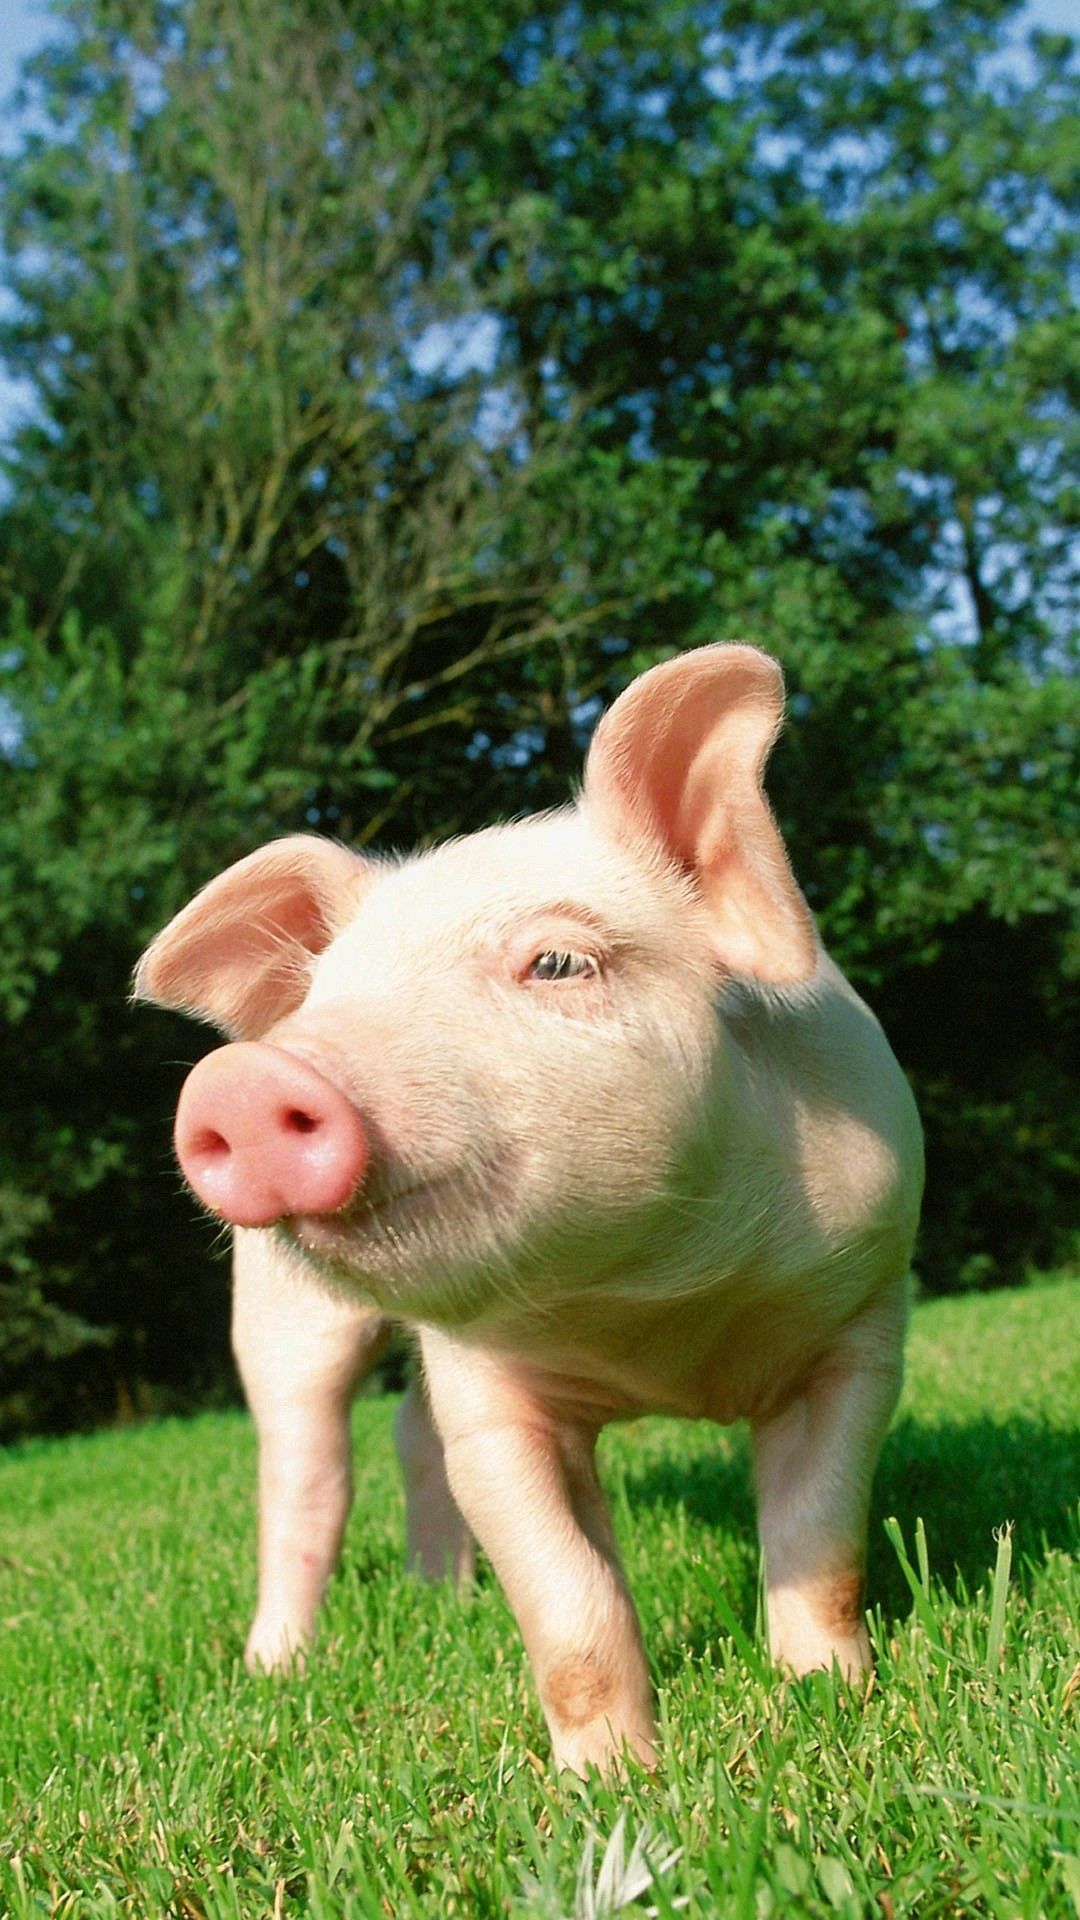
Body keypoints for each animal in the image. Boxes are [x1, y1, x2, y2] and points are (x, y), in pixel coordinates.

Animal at [133, 643, 923, 1775]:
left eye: (556, 961)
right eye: (326, 994)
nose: (241, 1082)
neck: (657, 1309)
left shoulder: (863, 1318)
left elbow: (822, 1546)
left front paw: (829, 1699)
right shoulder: (493, 1398)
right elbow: (569, 1604)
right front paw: (612, 1783)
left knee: (405, 1432)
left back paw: (444, 1599)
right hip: (277, 1314)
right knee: (303, 1474)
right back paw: (277, 1666)